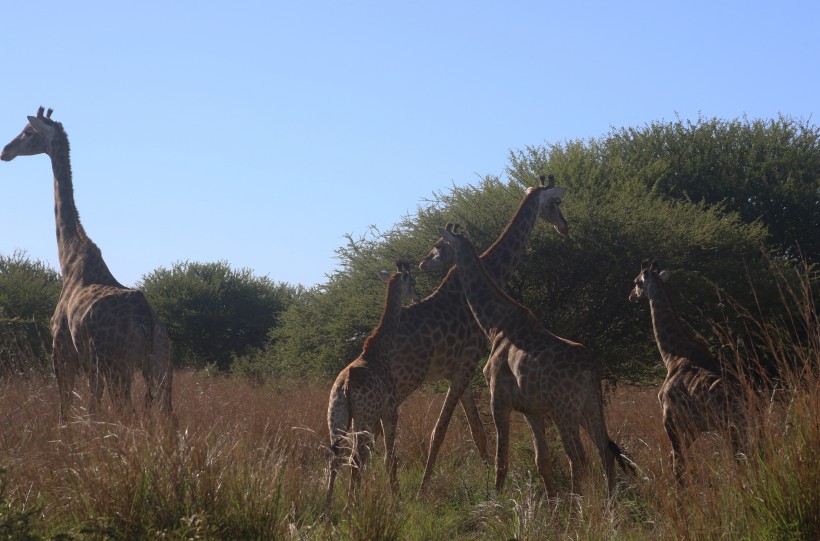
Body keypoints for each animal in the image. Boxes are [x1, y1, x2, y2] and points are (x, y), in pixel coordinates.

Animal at [1, 106, 171, 422]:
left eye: (28, 132)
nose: (5, 150)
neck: (68, 260)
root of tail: (146, 318)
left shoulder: (61, 351)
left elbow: (65, 408)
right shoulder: (91, 366)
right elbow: (93, 406)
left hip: (119, 365)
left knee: (127, 413)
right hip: (161, 364)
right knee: (168, 417)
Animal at [326, 260, 420, 508]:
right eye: (412, 282)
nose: (417, 296)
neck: (381, 349)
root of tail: (345, 385)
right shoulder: (391, 411)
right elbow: (390, 456)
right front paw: (396, 498)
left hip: (337, 417)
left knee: (336, 458)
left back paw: (328, 507)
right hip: (363, 418)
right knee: (355, 457)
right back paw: (351, 506)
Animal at [398, 174, 568, 490]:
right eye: (556, 202)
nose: (564, 226)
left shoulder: (459, 370)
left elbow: (477, 432)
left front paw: (488, 477)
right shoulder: (467, 363)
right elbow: (441, 430)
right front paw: (422, 490)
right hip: (405, 377)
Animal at [438, 223, 632, 494]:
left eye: (439, 245)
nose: (426, 262)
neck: (495, 324)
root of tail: (590, 369)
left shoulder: (498, 399)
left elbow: (501, 460)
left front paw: (496, 500)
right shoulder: (533, 409)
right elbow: (542, 461)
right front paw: (551, 502)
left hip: (564, 410)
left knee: (579, 458)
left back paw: (580, 501)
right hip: (590, 406)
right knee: (605, 451)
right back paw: (608, 500)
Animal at [632, 260, 752, 478]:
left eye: (636, 282)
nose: (631, 295)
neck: (672, 356)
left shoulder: (671, 419)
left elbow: (677, 464)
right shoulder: (693, 427)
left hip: (732, 428)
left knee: (741, 458)